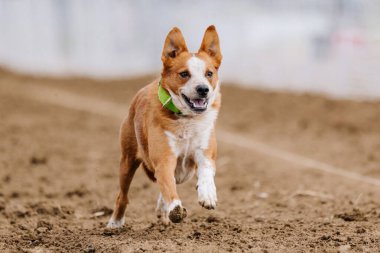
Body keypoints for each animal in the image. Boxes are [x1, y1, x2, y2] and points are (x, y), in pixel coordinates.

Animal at [107, 25, 223, 227]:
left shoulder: (205, 151)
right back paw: (115, 223)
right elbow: (168, 185)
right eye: (184, 74)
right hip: (127, 160)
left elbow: (206, 171)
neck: (187, 118)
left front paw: (207, 194)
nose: (203, 89)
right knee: (123, 195)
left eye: (209, 73)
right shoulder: (164, 158)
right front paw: (175, 209)